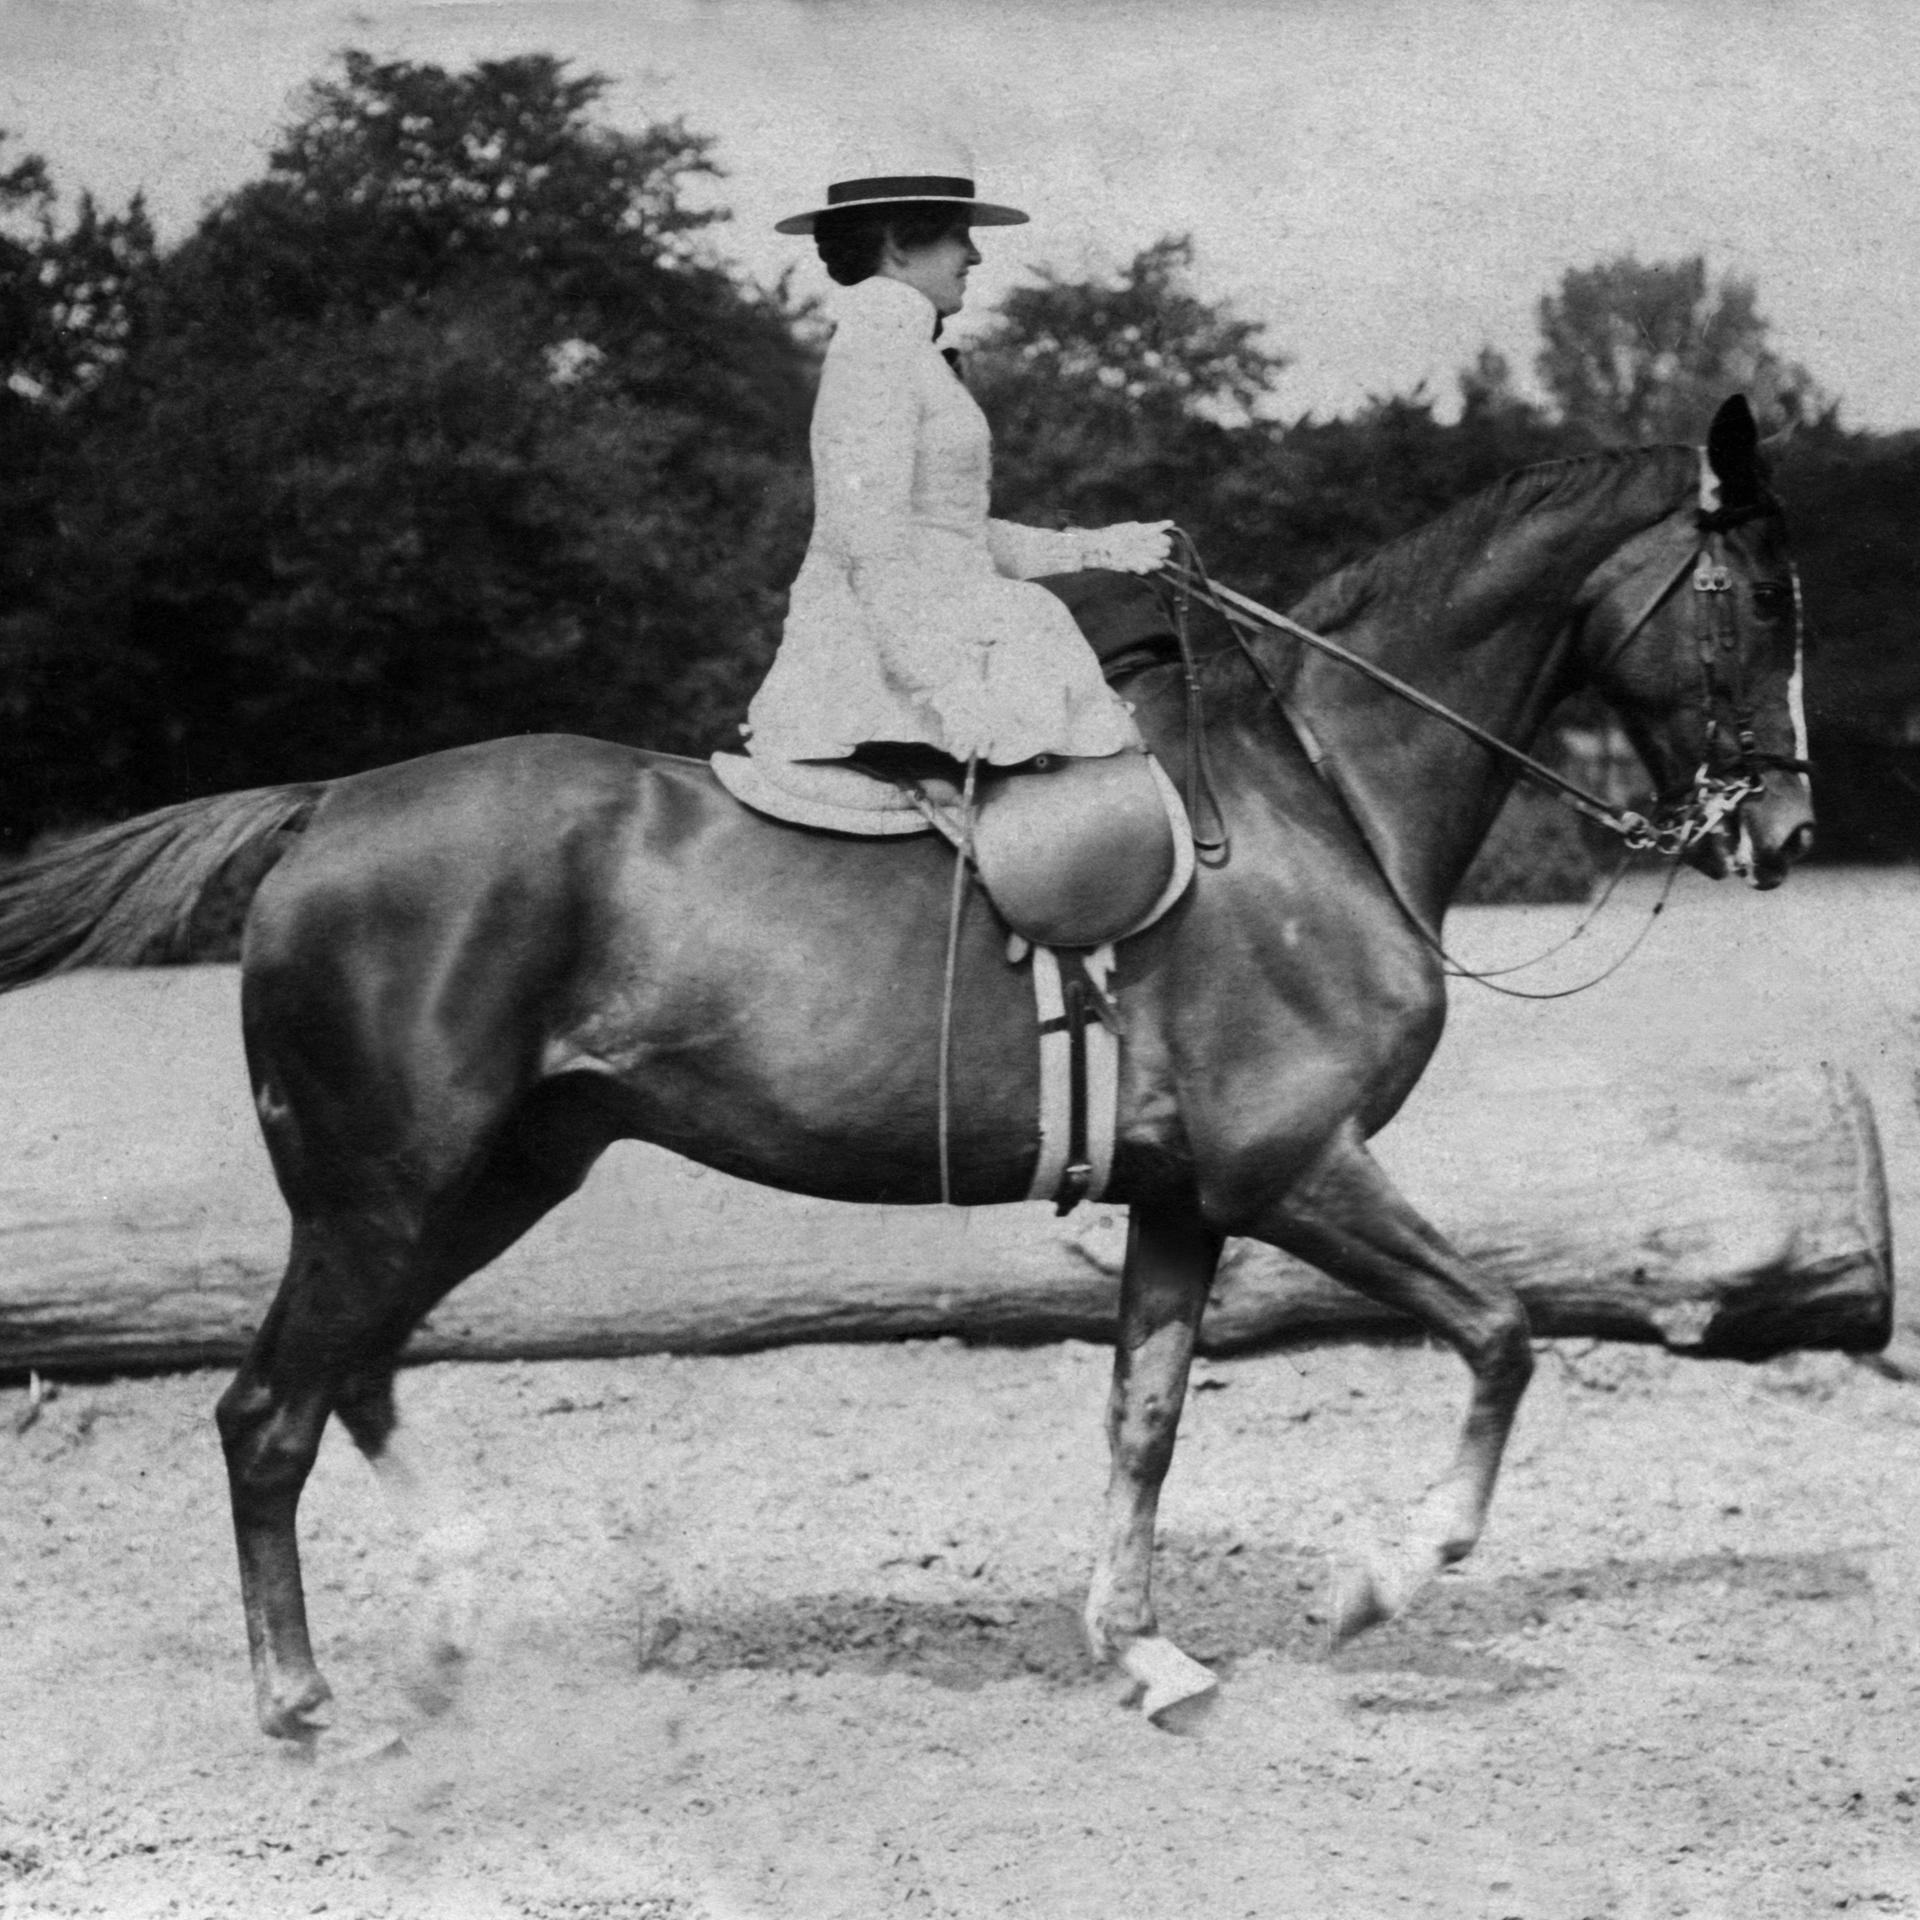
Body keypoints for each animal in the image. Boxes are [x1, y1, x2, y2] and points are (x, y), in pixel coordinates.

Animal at [0, 395, 1813, 1741]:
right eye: (1761, 598)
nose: (1785, 832)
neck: (1314, 798)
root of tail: (327, 809)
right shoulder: (1294, 1168)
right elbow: (1500, 1331)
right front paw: (1387, 1575)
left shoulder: (1187, 1201)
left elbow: (1145, 1417)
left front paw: (1145, 1650)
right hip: (385, 1189)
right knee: (267, 1413)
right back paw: (299, 1697)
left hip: (502, 1174)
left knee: (356, 1378)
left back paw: (451, 1616)